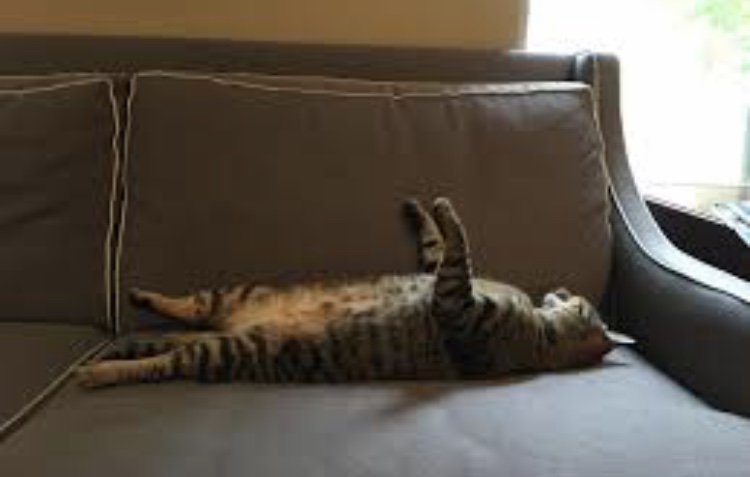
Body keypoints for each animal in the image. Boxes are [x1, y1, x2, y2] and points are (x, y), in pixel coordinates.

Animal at [75, 197, 633, 388]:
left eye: (581, 302)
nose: (561, 287)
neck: (542, 336)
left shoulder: (459, 309)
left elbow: (458, 244)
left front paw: (446, 209)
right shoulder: (445, 282)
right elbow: (439, 245)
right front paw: (422, 210)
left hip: (233, 347)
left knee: (167, 358)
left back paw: (102, 371)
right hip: (236, 298)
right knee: (185, 315)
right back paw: (143, 304)